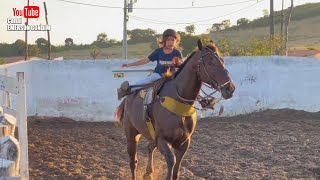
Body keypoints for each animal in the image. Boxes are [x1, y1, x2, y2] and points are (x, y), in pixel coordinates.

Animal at [114, 39, 235, 180]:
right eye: (210, 62)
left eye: (222, 60)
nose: (230, 88)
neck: (178, 100)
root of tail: (128, 97)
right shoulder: (162, 140)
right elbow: (171, 162)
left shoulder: (184, 143)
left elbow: (177, 167)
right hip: (131, 134)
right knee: (133, 161)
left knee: (149, 148)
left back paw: (148, 172)